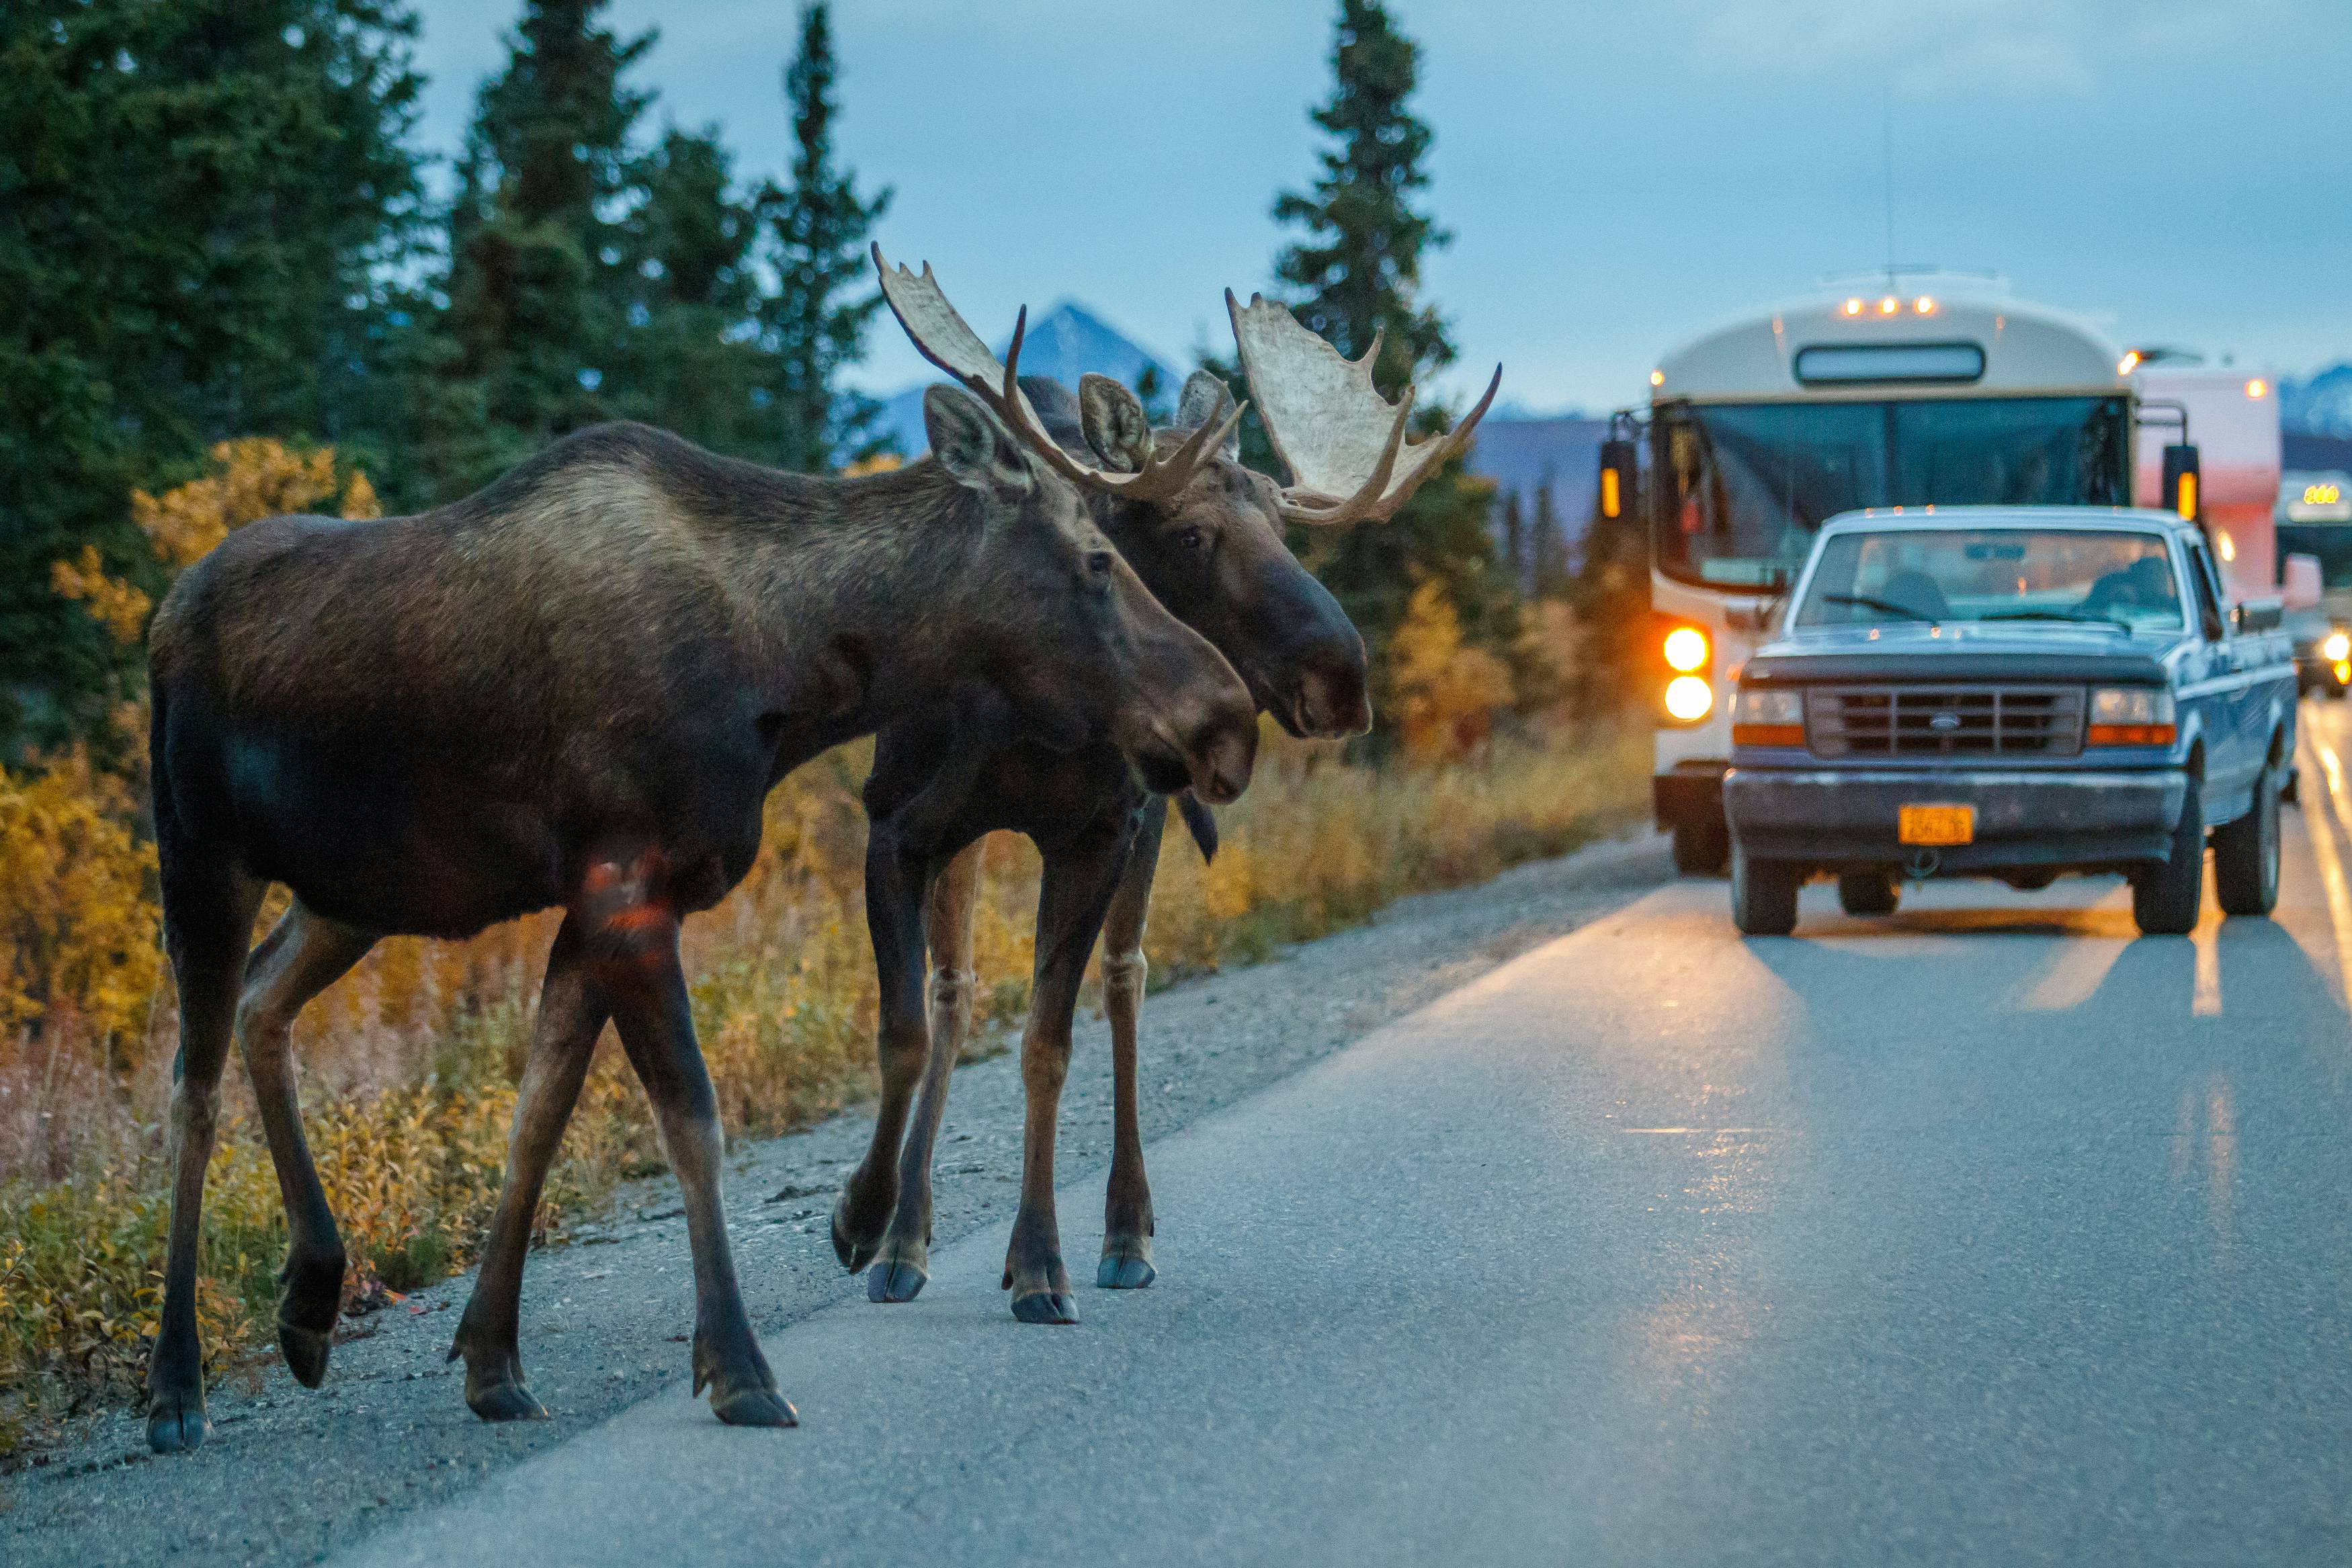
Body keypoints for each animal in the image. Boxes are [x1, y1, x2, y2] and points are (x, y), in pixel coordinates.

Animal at [135, 355, 1261, 1448]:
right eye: (1099, 560)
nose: (1229, 716)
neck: (788, 666)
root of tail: (163, 614)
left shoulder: (595, 903)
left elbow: (538, 1113)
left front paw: (492, 1361)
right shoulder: (626, 889)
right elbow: (691, 1119)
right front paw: (739, 1367)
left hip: (354, 890)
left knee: (264, 999)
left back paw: (310, 1298)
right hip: (200, 853)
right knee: (190, 1091)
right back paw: (176, 1384)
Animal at [837, 248, 1496, 1325]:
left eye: (1283, 529)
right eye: (1188, 533)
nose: (1344, 677)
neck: (1027, 718)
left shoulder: (1102, 830)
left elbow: (1049, 1042)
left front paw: (1041, 1261)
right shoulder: (902, 822)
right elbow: (925, 1012)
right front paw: (877, 1226)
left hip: (1146, 822)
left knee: (1125, 978)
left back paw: (1123, 1229)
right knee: (964, 993)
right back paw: (913, 1235)